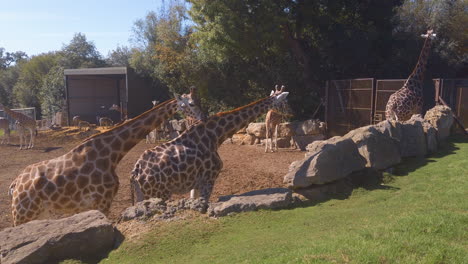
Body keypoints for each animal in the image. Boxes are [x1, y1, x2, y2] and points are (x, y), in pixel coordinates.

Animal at [7, 89, 205, 226]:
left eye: (197, 102)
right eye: (191, 104)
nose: (203, 118)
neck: (112, 154)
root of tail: (14, 185)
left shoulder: (100, 203)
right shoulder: (102, 201)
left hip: (40, 212)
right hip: (22, 214)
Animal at [129, 85, 288, 210]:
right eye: (285, 101)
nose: (290, 111)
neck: (216, 135)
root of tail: (135, 172)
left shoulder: (197, 182)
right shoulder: (209, 179)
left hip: (143, 194)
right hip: (159, 193)